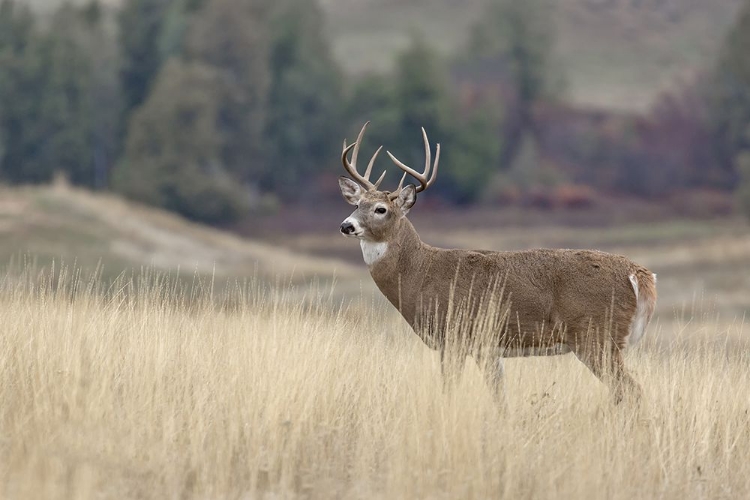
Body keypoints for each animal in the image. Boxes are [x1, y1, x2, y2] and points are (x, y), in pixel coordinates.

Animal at [336, 123, 656, 404]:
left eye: (381, 209)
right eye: (357, 204)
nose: (346, 225)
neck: (420, 273)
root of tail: (640, 275)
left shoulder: (454, 336)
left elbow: (449, 391)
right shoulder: (487, 348)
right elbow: (500, 398)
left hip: (597, 336)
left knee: (632, 391)